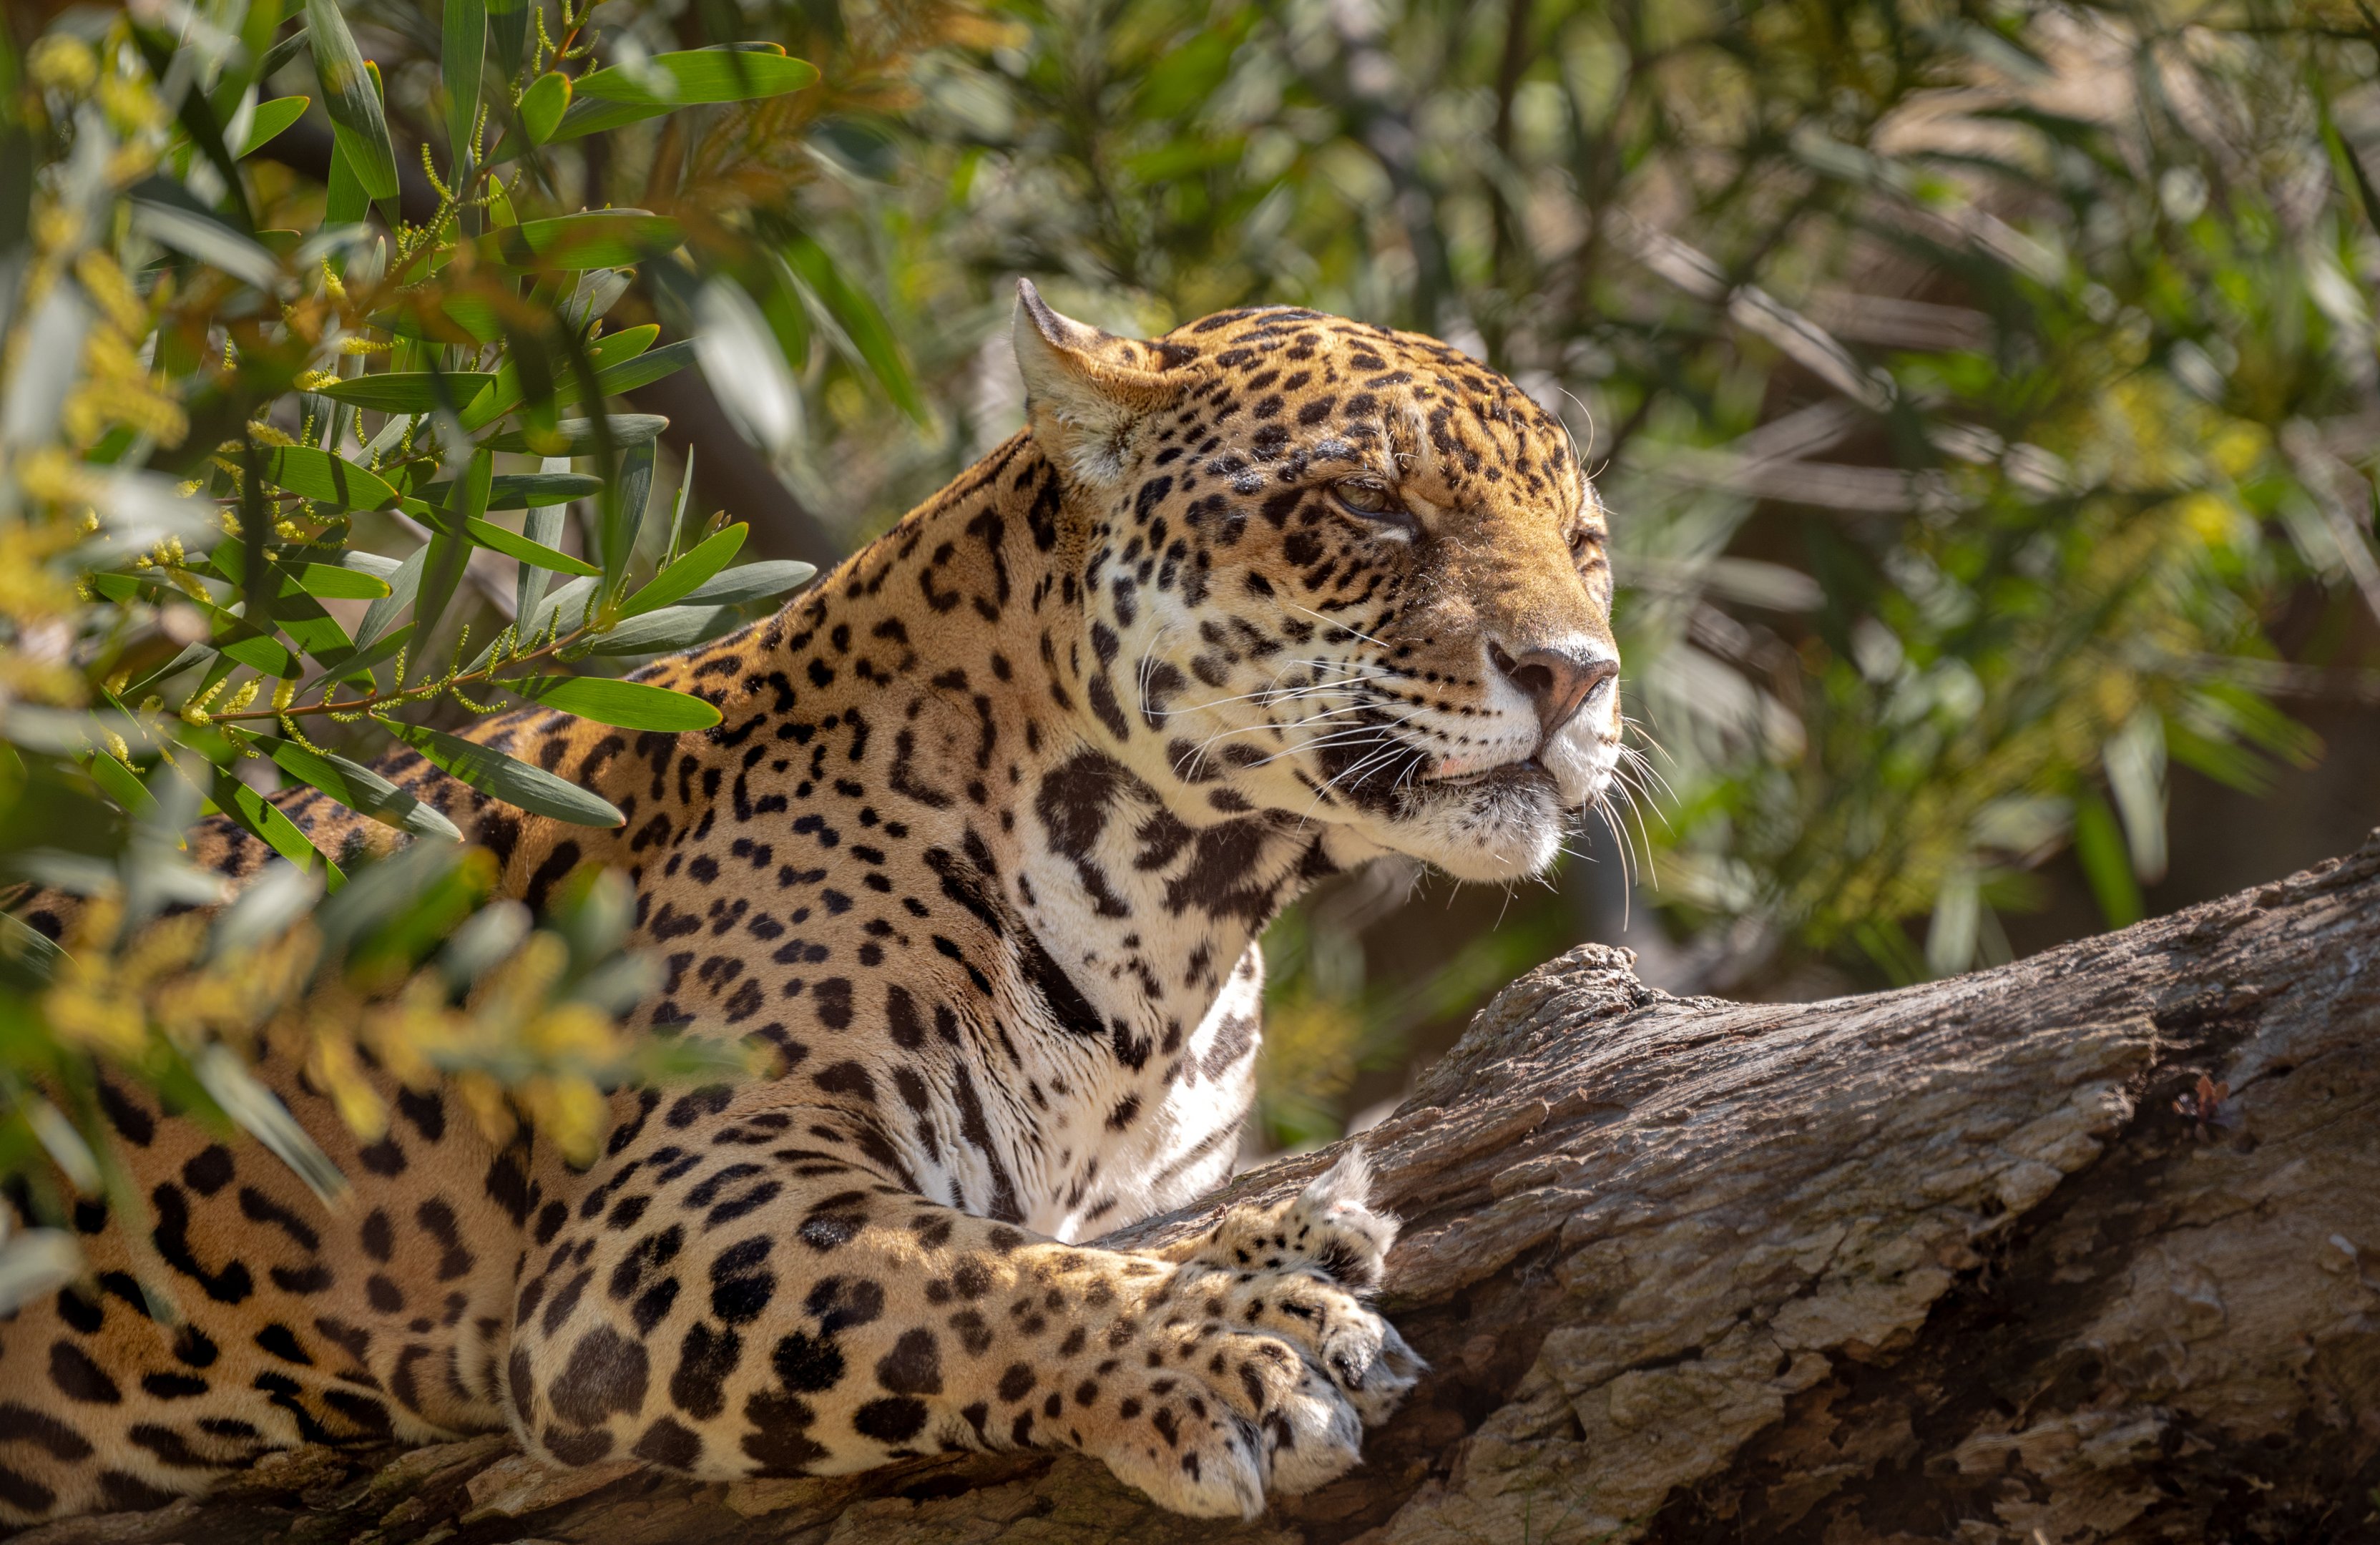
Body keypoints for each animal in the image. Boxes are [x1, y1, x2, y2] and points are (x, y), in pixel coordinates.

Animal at [0, 280, 1622, 1524]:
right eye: (1367, 502)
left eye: (1583, 546)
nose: (1575, 674)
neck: (1185, 925)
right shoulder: (668, 1219)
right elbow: (980, 1281)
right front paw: (1225, 1345)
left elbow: (1068, 1239)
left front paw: (1270, 1249)